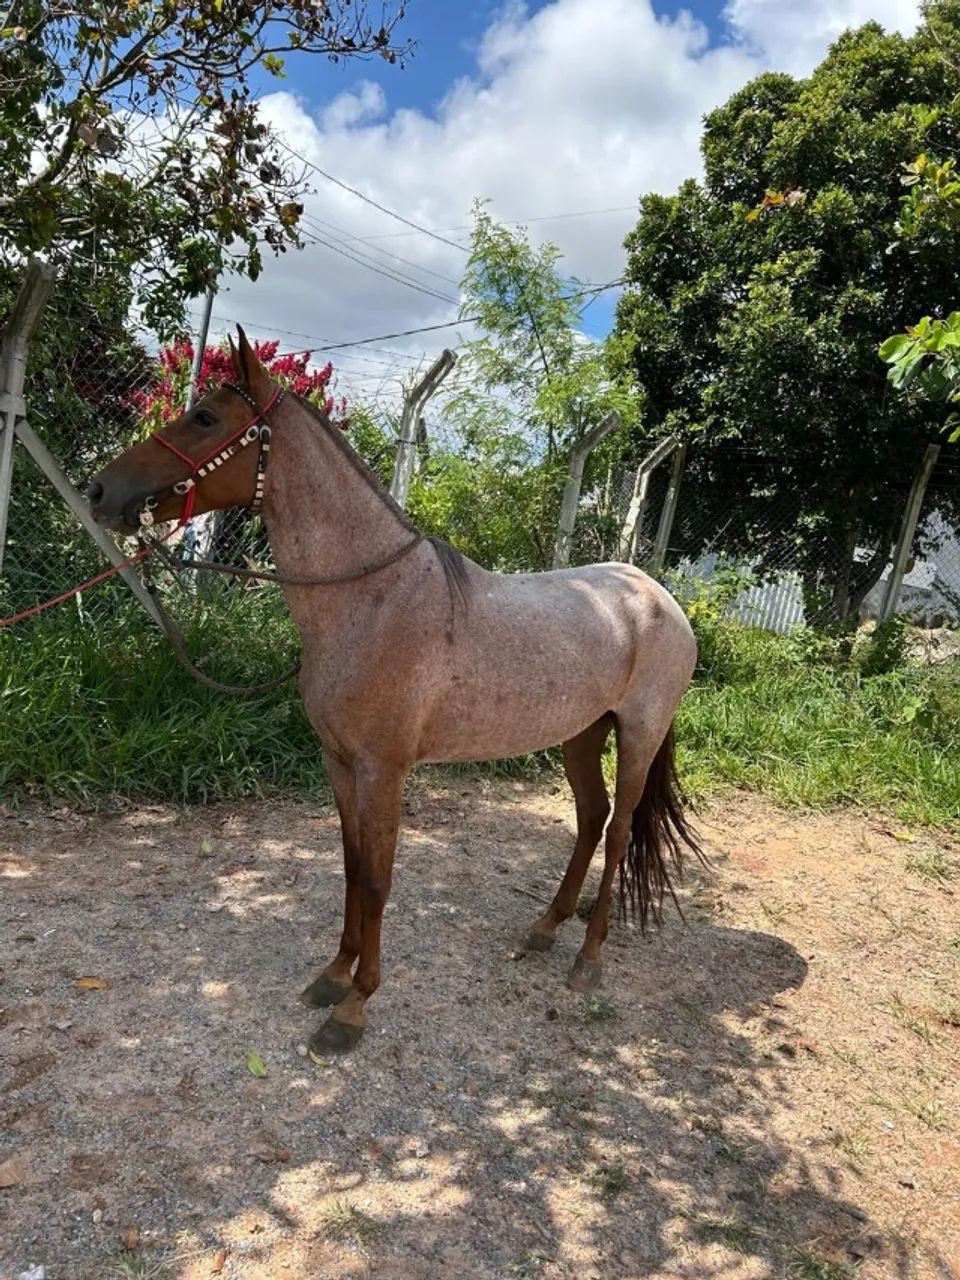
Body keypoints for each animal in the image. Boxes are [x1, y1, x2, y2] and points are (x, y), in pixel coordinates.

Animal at [87, 328, 702, 1056]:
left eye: (206, 417)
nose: (100, 490)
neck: (371, 600)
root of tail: (657, 595)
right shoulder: (339, 761)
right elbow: (352, 866)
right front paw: (332, 975)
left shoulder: (384, 769)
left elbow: (379, 878)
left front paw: (354, 1007)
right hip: (581, 734)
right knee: (590, 819)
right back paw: (545, 929)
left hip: (637, 734)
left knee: (619, 830)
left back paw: (588, 958)